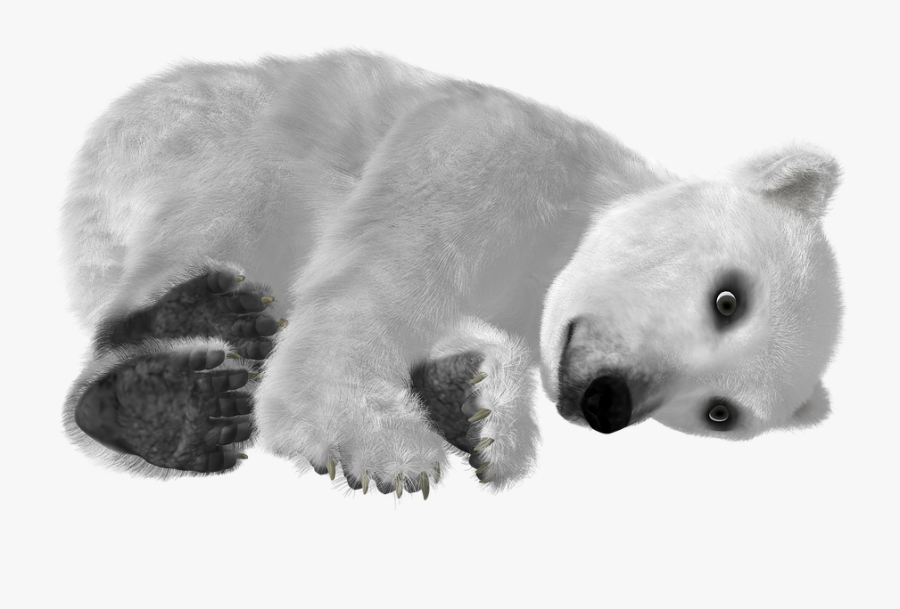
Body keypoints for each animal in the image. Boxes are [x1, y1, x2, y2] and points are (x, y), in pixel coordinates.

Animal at [60, 50, 843, 498]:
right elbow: (391, 266)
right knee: (236, 200)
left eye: (721, 411)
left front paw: (474, 401)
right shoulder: (498, 143)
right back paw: (182, 376)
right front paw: (379, 440)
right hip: (184, 134)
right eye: (727, 298)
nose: (607, 402)